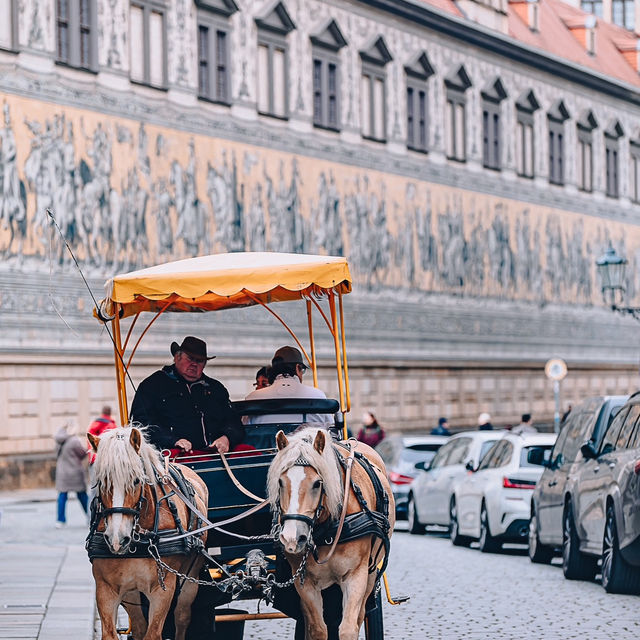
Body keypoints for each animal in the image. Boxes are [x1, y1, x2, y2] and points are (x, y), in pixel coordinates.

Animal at [86, 428, 208, 640]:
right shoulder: (108, 588)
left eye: (136, 480)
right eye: (102, 481)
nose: (117, 540)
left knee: (182, 618)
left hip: (189, 581)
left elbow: (153, 633)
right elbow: (115, 633)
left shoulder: (162, 590)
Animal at [266, 424, 396, 640]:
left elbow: (348, 628)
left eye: (317, 483)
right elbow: (318, 629)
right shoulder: (304, 583)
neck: (327, 531)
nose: (293, 538)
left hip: (371, 573)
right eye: (281, 482)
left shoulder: (356, 575)